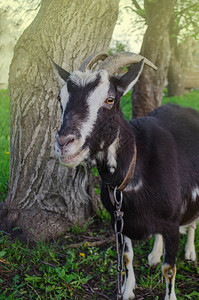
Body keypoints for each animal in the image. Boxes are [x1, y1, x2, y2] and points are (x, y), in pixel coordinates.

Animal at [51, 52, 199, 300]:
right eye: (61, 99)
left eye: (110, 99)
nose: (64, 142)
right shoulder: (118, 218)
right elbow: (127, 256)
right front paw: (127, 290)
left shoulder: (171, 222)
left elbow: (169, 269)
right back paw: (154, 255)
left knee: (193, 223)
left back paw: (189, 252)